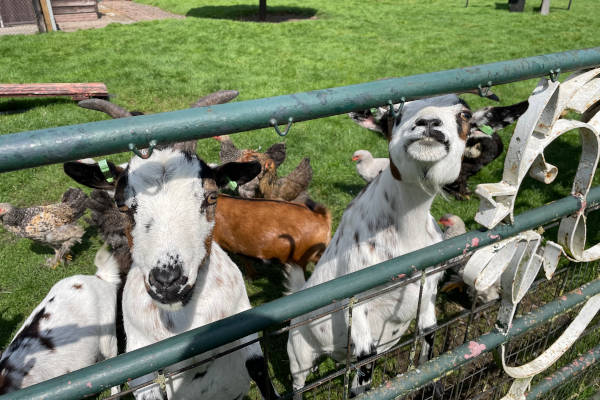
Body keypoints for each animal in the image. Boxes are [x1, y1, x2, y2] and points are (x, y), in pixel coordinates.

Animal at [64, 139, 280, 398]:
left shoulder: (244, 324)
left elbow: (258, 368)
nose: (168, 281)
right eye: (121, 205)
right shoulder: (140, 358)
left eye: (211, 197)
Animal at [284, 94, 524, 396]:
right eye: (393, 114)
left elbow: (429, 339)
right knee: (298, 383)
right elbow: (365, 363)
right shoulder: (357, 302)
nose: (429, 122)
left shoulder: (428, 288)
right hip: (298, 352)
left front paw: (431, 387)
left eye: (465, 115)